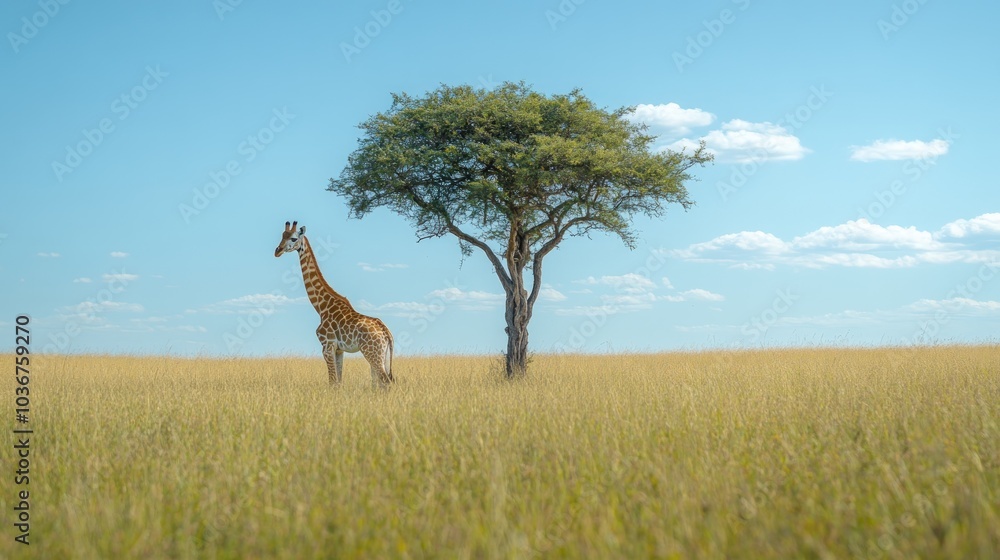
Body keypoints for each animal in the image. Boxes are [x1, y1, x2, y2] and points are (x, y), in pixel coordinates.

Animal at [274, 221, 394, 387]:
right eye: (282, 236)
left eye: (293, 238)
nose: (277, 251)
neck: (321, 307)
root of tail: (386, 333)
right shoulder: (339, 349)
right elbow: (339, 381)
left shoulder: (327, 345)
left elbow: (332, 382)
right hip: (383, 355)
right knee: (380, 382)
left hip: (372, 352)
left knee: (385, 382)